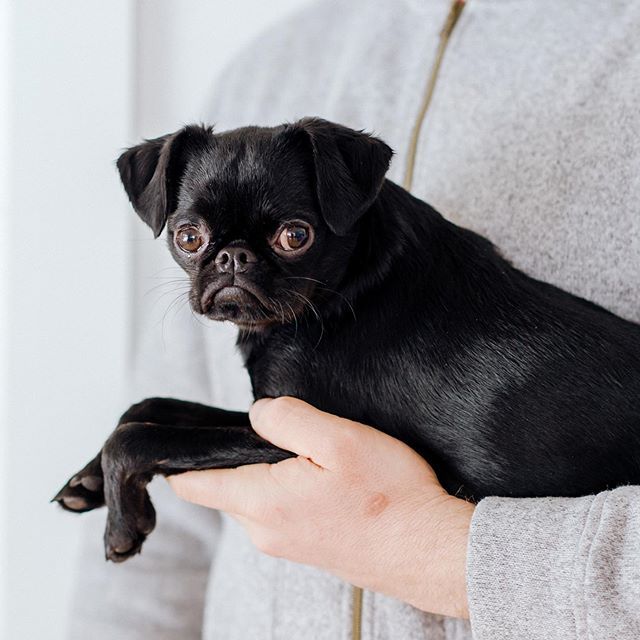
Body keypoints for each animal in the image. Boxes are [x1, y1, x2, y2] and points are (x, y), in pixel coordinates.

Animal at [53, 119, 640, 560]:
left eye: (295, 236)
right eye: (188, 237)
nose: (232, 257)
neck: (348, 285)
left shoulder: (292, 435)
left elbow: (139, 437)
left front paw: (122, 524)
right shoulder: (268, 409)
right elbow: (150, 406)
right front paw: (89, 481)